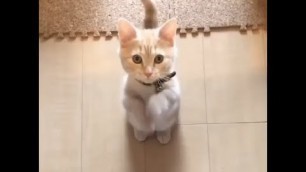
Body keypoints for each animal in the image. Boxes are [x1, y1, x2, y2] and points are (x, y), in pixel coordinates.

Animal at [116, 0, 179, 144]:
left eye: (159, 58)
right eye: (137, 59)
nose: (148, 73)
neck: (148, 87)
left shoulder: (175, 90)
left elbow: (163, 96)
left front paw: (153, 107)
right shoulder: (126, 91)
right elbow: (134, 103)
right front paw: (144, 122)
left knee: (166, 123)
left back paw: (163, 133)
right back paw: (140, 132)